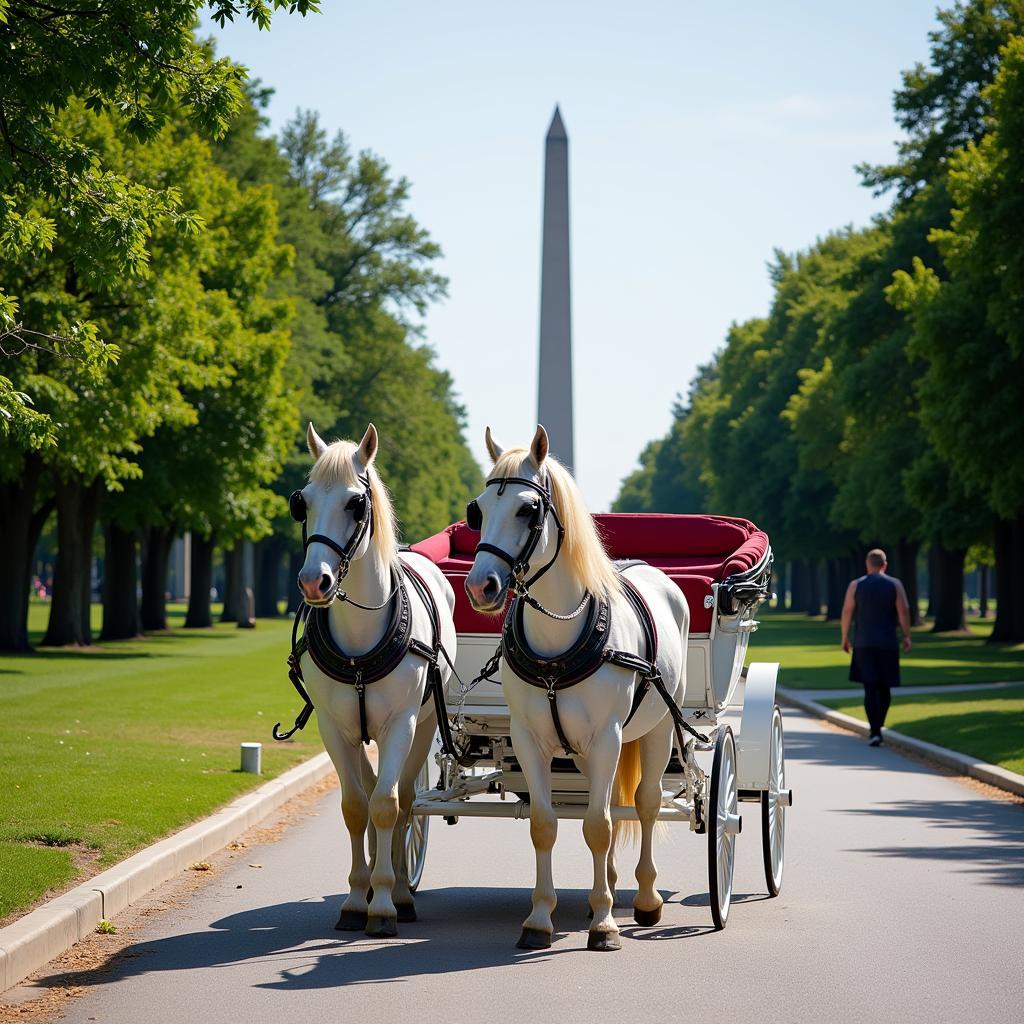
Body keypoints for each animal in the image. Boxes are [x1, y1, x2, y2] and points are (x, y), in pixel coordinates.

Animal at [296, 421, 456, 937]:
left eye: (355, 503)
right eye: (302, 501)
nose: (314, 582)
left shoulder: (399, 726)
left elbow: (387, 805)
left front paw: (384, 903)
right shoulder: (334, 728)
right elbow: (355, 806)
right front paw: (354, 898)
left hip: (424, 726)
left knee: (405, 802)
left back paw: (401, 891)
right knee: (368, 796)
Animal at [468, 425, 692, 950]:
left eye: (528, 510)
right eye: (478, 511)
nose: (481, 586)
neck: (558, 644)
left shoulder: (608, 736)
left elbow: (600, 826)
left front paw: (605, 924)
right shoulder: (529, 740)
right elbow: (547, 825)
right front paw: (539, 917)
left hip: (656, 730)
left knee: (646, 804)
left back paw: (644, 899)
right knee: (608, 804)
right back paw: (604, 887)